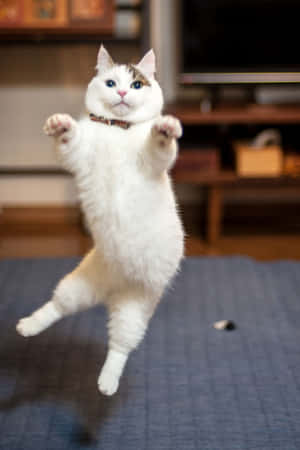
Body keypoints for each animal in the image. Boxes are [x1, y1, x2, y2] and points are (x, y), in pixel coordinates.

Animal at [17, 45, 185, 396]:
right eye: (111, 82)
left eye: (136, 85)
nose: (121, 92)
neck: (116, 129)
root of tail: (111, 293)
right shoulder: (78, 155)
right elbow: (69, 142)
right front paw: (60, 125)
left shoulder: (152, 162)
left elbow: (160, 147)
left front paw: (164, 130)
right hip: (77, 285)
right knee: (57, 307)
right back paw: (27, 326)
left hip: (136, 311)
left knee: (119, 348)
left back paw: (107, 383)